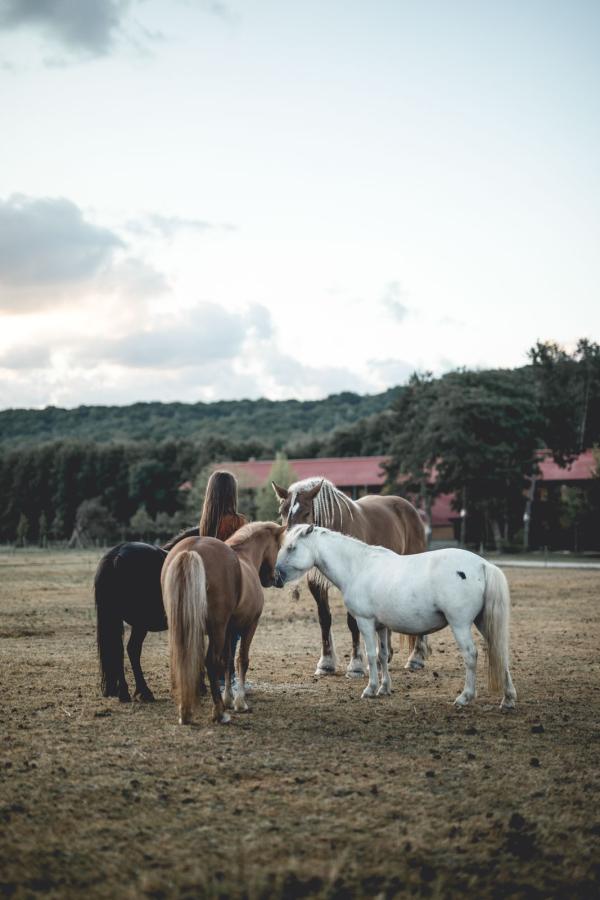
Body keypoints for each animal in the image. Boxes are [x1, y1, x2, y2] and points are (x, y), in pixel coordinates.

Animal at [95, 528, 199, 704]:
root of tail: (116, 555)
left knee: (119, 650)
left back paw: (124, 692)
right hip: (140, 624)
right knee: (132, 649)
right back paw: (144, 692)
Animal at [162, 520, 286, 724]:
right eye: (279, 546)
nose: (275, 579)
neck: (246, 557)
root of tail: (191, 550)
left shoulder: (230, 629)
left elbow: (227, 661)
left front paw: (228, 698)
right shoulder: (249, 625)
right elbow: (241, 660)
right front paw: (239, 703)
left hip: (185, 628)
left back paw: (186, 712)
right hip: (217, 630)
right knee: (211, 662)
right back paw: (219, 713)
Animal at [272, 478, 432, 676]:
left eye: (307, 512)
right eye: (282, 511)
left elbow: (352, 622)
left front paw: (355, 665)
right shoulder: (317, 584)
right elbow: (324, 619)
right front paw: (326, 663)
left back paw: (416, 658)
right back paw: (384, 656)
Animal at [276, 528, 516, 712]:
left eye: (292, 548)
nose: (276, 577)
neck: (358, 567)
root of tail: (483, 565)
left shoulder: (365, 622)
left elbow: (371, 656)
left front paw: (370, 689)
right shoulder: (381, 627)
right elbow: (383, 655)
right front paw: (384, 688)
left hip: (460, 625)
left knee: (470, 655)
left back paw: (464, 697)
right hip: (483, 623)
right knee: (499, 651)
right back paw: (508, 699)